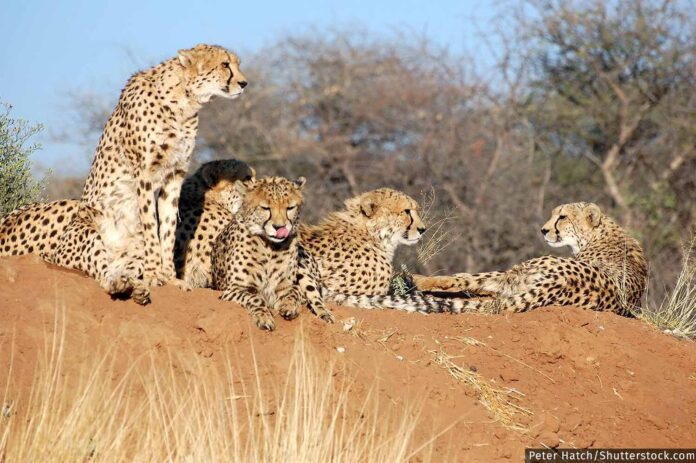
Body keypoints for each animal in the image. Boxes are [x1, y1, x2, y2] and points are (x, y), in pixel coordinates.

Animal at [52, 43, 248, 296]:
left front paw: (170, 277)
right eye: (225, 64)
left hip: (131, 253)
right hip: (90, 231)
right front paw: (155, 274)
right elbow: (150, 223)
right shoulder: (144, 173)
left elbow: (168, 228)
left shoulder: (174, 175)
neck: (183, 102)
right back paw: (123, 283)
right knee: (102, 273)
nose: (244, 83)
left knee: (118, 269)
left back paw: (134, 287)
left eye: (236, 64)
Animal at [211, 176, 335, 330]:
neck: (269, 247)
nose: (279, 227)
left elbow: (294, 292)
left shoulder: (285, 286)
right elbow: (255, 298)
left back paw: (325, 315)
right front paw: (264, 318)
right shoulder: (233, 289)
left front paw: (288, 306)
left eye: (290, 208)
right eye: (265, 208)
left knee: (315, 296)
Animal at [412, 202, 648, 316]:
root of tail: (561, 281)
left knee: (474, 286)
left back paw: (418, 280)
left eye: (562, 217)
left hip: (521, 271)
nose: (543, 230)